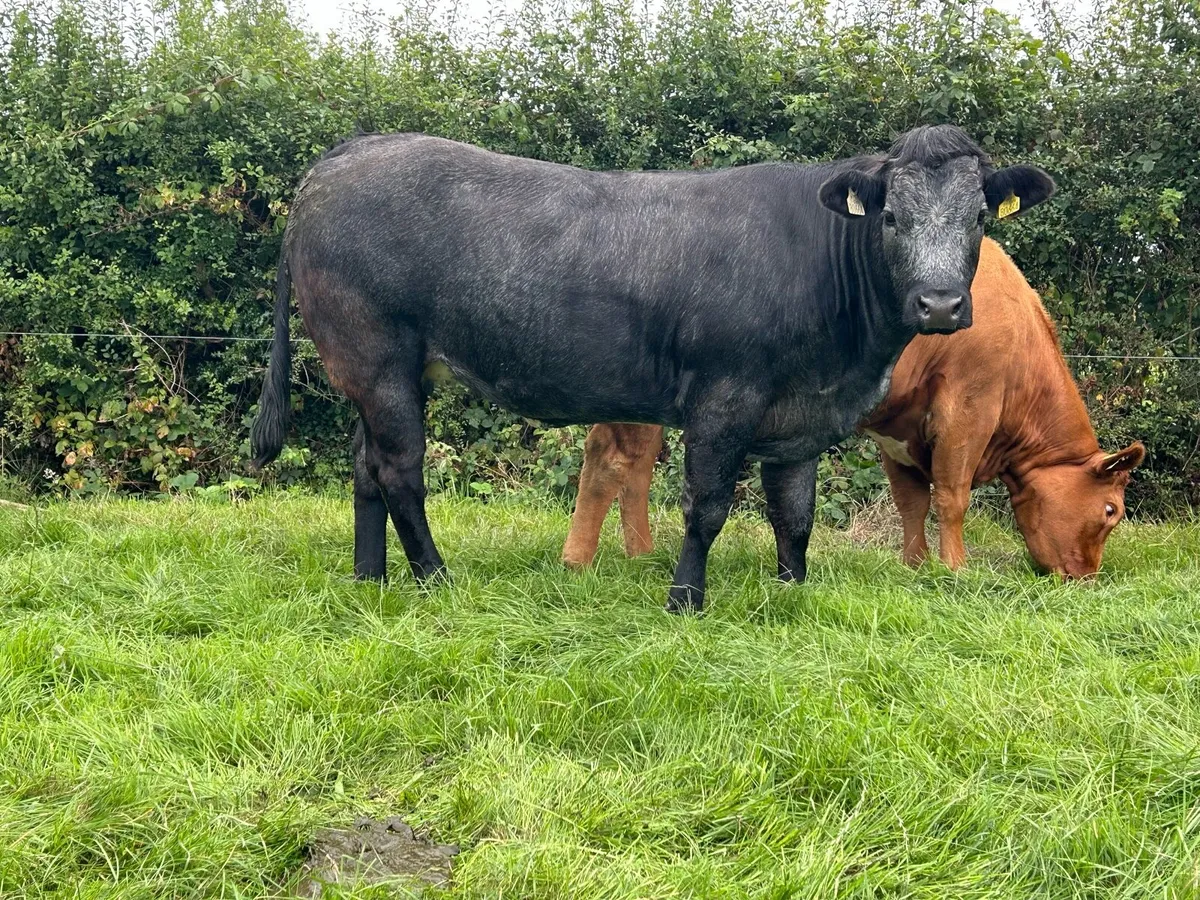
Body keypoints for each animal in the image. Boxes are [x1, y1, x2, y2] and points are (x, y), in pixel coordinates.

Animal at [250, 125, 1054, 613]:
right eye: (890, 217)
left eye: (979, 217)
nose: (940, 303)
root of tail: (348, 154)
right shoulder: (724, 396)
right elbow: (707, 506)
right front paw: (686, 599)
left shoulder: (800, 415)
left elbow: (794, 514)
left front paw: (792, 591)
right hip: (376, 356)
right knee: (400, 471)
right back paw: (433, 576)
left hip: (381, 372)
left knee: (366, 466)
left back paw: (370, 575)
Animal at [561, 237, 1144, 579]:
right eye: (1111, 511)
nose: (1085, 577)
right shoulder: (969, 405)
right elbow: (951, 496)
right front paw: (955, 571)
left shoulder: (901, 427)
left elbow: (911, 501)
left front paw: (915, 567)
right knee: (617, 459)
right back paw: (578, 561)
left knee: (627, 460)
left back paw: (637, 554)